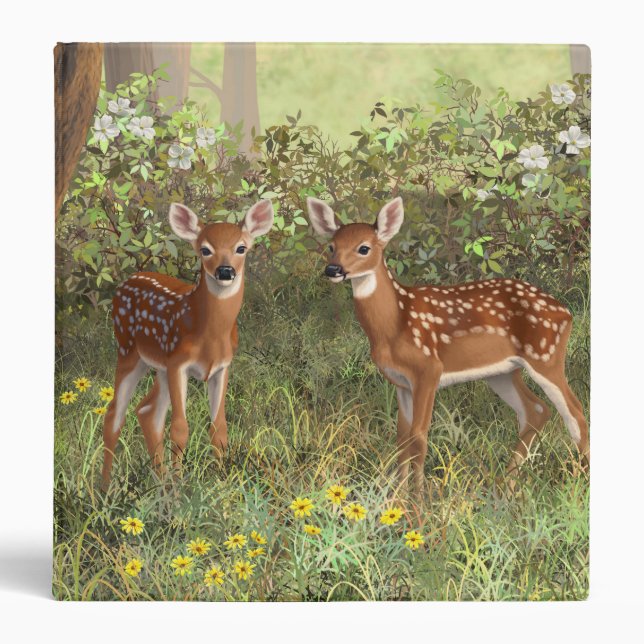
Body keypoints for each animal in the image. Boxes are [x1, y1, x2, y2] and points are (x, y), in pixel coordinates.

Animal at [101, 199, 274, 490]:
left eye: (241, 248)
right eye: (205, 249)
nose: (225, 271)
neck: (210, 336)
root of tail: (127, 280)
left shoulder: (222, 367)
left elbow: (219, 427)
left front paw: (221, 481)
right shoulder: (178, 364)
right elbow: (180, 428)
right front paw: (181, 487)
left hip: (159, 366)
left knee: (148, 411)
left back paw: (160, 483)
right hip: (127, 350)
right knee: (115, 413)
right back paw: (104, 488)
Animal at [307, 196, 589, 494]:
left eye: (364, 248)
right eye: (331, 246)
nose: (333, 269)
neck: (395, 324)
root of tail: (566, 312)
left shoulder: (428, 369)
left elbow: (419, 437)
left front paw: (418, 502)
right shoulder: (400, 382)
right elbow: (401, 439)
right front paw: (397, 498)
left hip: (546, 356)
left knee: (575, 413)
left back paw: (578, 482)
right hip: (502, 372)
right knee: (535, 411)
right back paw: (505, 487)